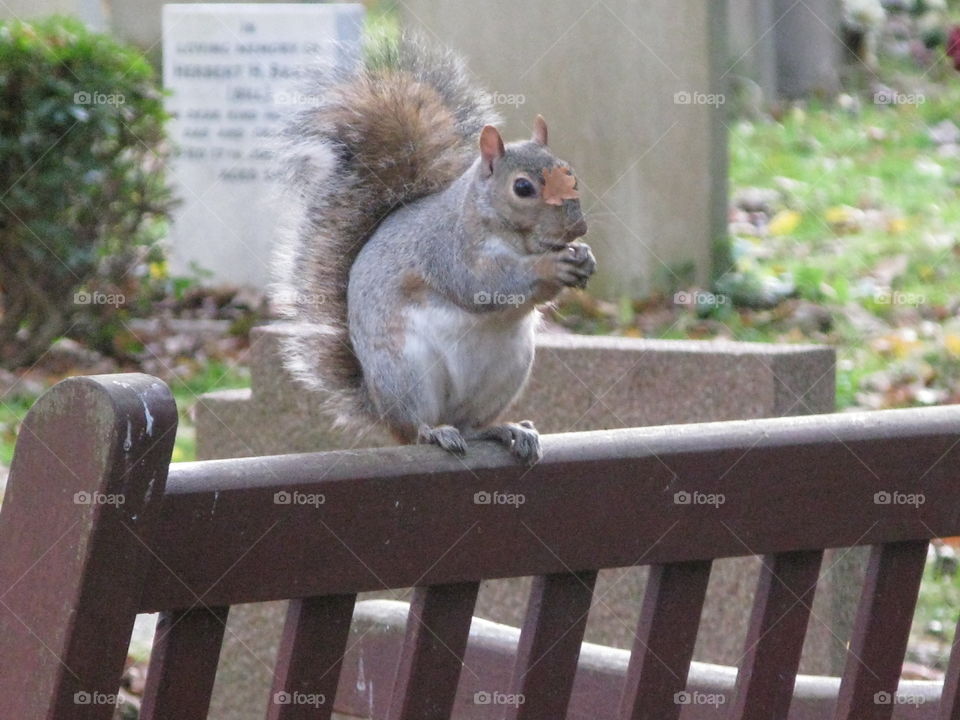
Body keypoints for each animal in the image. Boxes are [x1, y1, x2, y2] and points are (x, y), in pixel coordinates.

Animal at [271, 37, 596, 464]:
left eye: (571, 174)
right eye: (523, 187)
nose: (577, 228)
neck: (511, 236)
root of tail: (380, 408)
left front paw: (584, 256)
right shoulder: (446, 250)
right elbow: (481, 285)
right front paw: (551, 267)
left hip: (509, 368)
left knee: (471, 424)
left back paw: (506, 429)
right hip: (407, 372)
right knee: (417, 427)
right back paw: (435, 432)